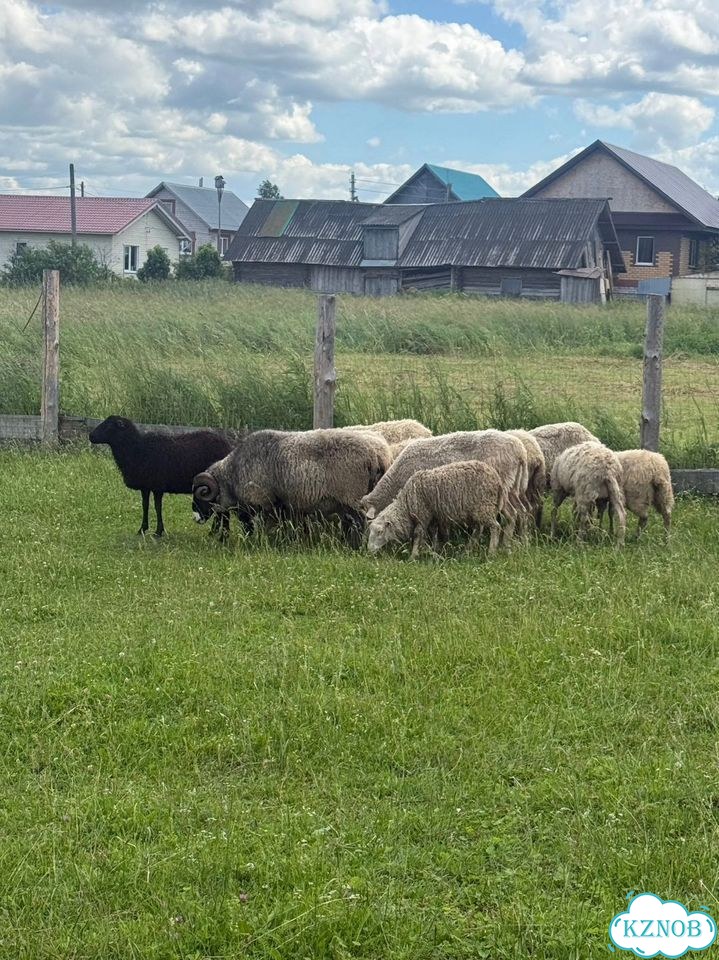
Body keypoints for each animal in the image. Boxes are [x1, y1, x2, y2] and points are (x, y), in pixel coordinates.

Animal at [89, 415, 232, 537]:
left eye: (109, 426)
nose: (90, 436)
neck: (137, 449)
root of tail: (227, 446)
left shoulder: (157, 486)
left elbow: (157, 507)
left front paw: (158, 531)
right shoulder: (146, 486)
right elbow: (145, 505)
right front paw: (142, 529)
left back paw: (215, 533)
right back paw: (213, 533)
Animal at [192, 428, 391, 545]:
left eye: (201, 494)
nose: (195, 518)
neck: (232, 475)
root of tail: (377, 455)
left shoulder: (261, 502)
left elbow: (253, 526)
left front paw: (258, 543)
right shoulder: (279, 505)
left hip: (353, 497)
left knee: (360, 523)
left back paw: (355, 546)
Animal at [360, 430, 528, 544]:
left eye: (369, 521)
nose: (363, 544)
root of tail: (520, 450)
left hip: (502, 489)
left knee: (512, 514)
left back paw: (504, 544)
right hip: (513, 488)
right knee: (521, 511)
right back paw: (521, 542)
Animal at [367, 460, 509, 558]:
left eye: (380, 532)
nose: (369, 550)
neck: (406, 504)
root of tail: (497, 480)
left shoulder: (422, 515)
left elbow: (417, 534)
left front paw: (413, 555)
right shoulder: (433, 516)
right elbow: (434, 533)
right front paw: (435, 551)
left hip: (484, 507)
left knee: (495, 527)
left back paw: (491, 552)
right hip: (478, 510)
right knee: (478, 529)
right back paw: (468, 549)